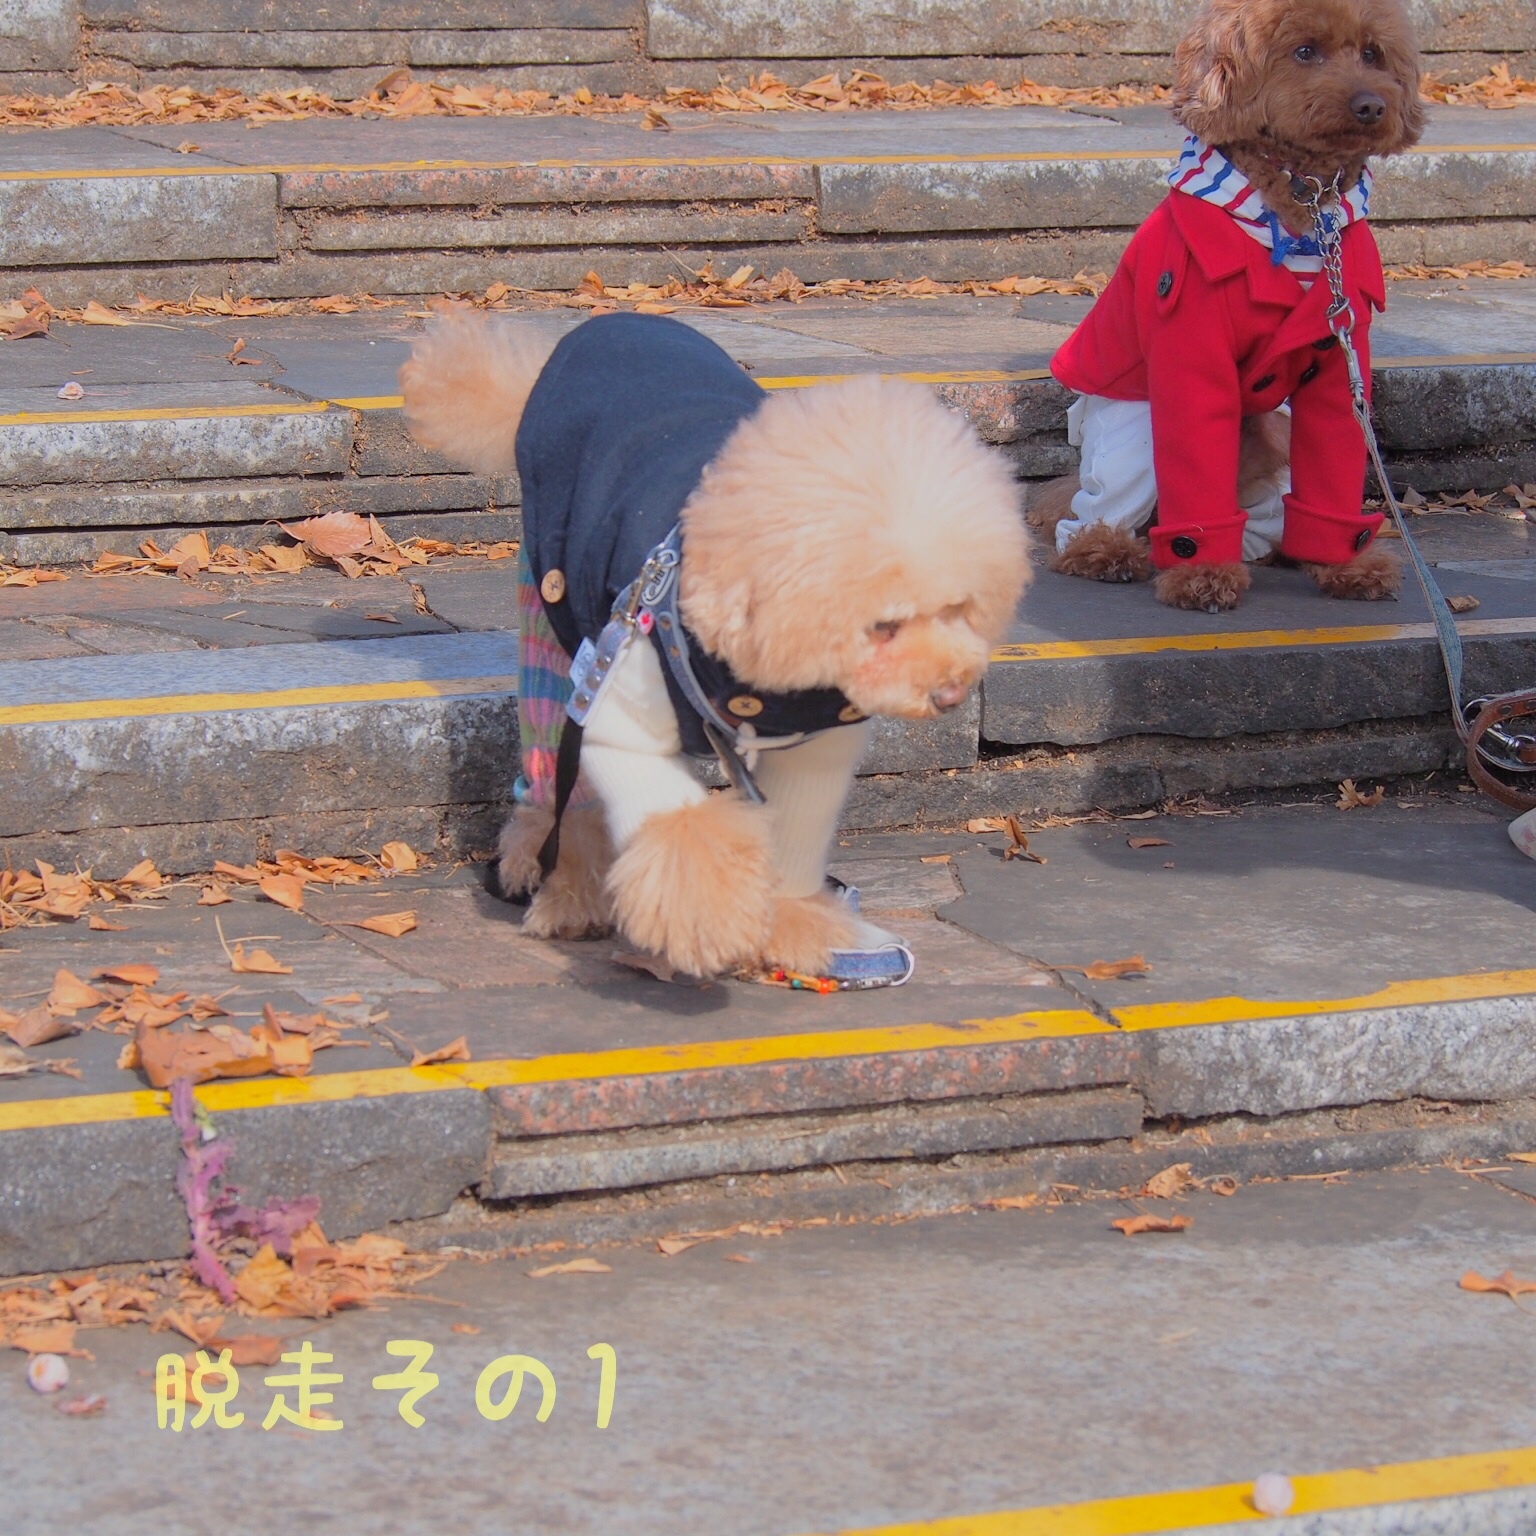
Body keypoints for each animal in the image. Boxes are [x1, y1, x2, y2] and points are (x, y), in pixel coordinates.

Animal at [400, 311, 1029, 977]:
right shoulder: (621, 711)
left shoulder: (816, 747)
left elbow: (795, 832)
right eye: (883, 625)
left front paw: (798, 924)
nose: (952, 693)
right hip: (554, 620)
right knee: (555, 792)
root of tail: (607, 326)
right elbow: (679, 828)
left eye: (957, 609)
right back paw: (565, 890)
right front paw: (707, 919)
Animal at [1032, 0, 1424, 612]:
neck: (1301, 211)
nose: (1371, 106)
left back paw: (1283, 550)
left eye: (1372, 53)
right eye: (1304, 51)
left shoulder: (1340, 358)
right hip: (1129, 436)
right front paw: (1202, 575)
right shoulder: (1191, 350)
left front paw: (1347, 564)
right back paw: (1106, 552)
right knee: (1095, 510)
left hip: (1275, 447)